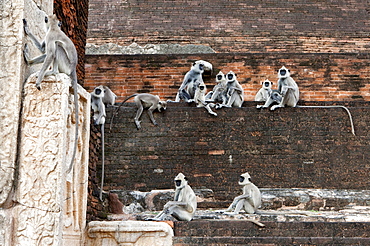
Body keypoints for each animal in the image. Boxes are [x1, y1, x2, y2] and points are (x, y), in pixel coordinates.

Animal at [23, 15, 78, 174]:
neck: (54, 27)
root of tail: (73, 68)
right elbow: (43, 49)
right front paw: (27, 29)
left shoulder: (50, 36)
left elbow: (50, 53)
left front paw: (39, 81)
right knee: (49, 51)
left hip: (65, 65)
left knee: (56, 48)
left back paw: (51, 72)